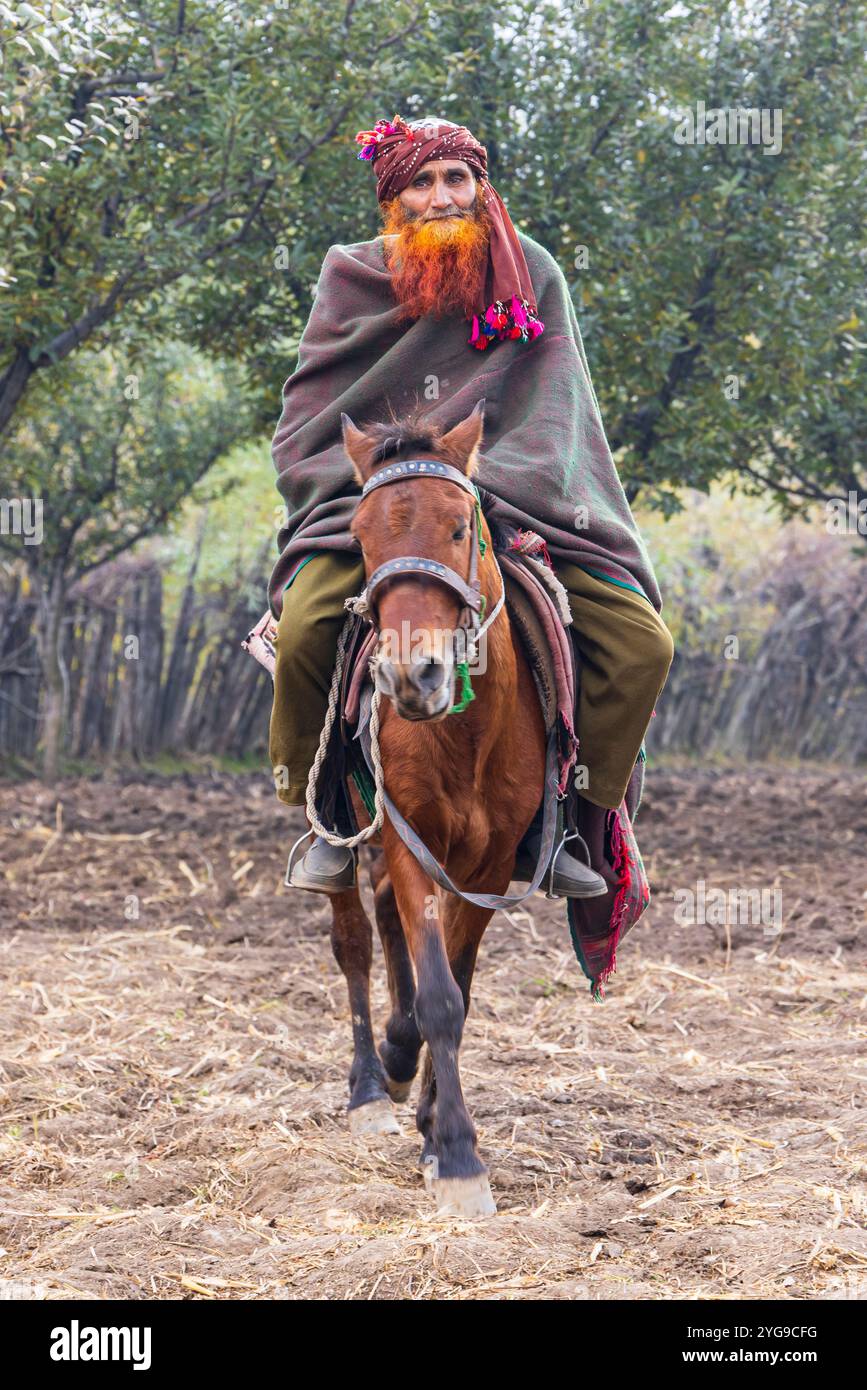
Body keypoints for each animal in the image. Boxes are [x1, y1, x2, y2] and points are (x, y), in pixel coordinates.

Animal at [322, 397, 544, 1212]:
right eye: (358, 538)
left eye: (457, 526)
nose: (410, 678)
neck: (466, 734)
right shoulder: (411, 838)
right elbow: (440, 998)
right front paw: (455, 1157)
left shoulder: (487, 868)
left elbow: (456, 989)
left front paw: (431, 1125)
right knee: (355, 938)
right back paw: (367, 1085)